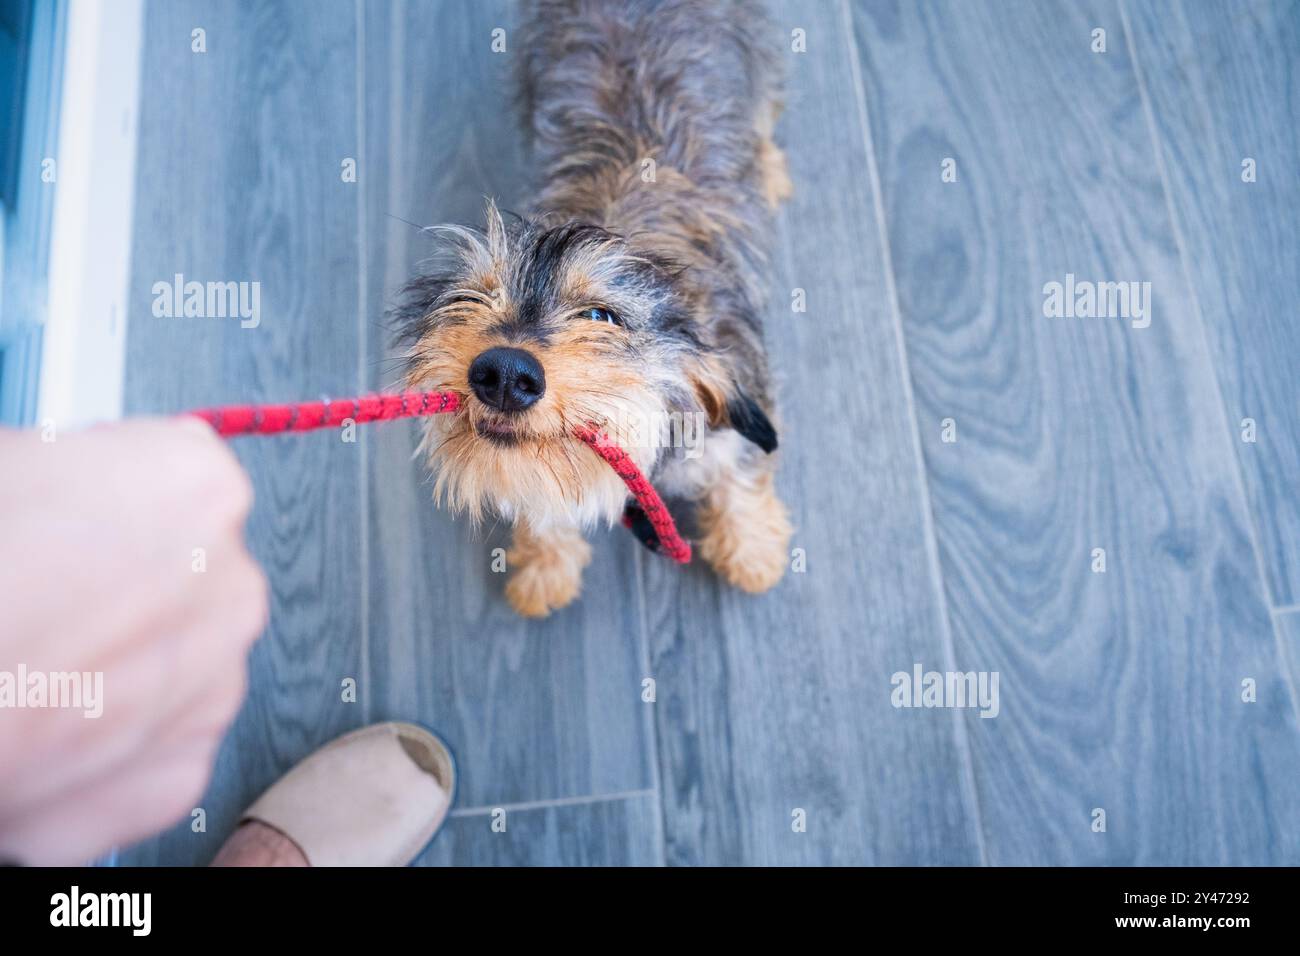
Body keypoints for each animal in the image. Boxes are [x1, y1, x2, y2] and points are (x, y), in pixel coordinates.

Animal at [400, 0, 795, 616]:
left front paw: (752, 550)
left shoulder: (733, 420)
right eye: (473, 299)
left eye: (600, 317)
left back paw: (770, 167)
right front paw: (544, 568)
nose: (503, 373)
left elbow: (741, 480)